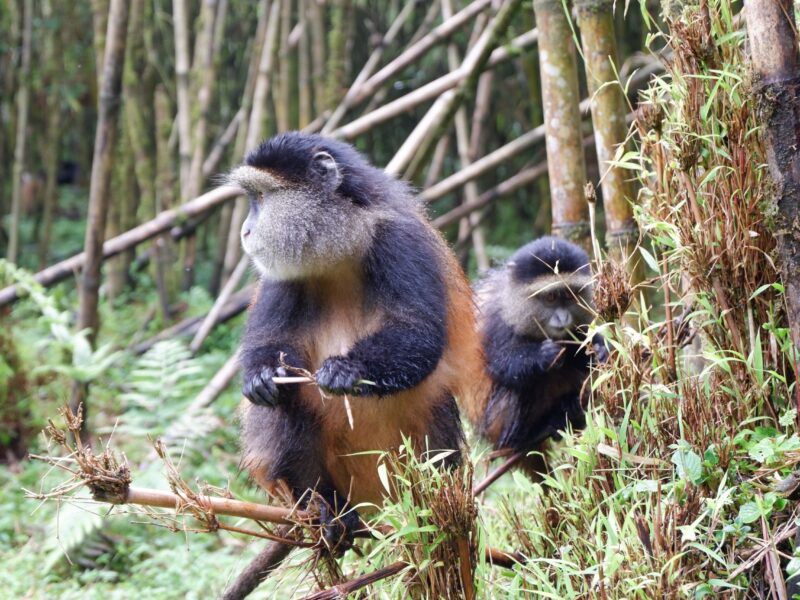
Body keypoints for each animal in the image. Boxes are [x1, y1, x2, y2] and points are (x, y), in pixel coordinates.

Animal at [227, 132, 487, 552]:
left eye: (262, 198)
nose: (246, 232)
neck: (343, 246)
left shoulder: (400, 241)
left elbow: (419, 334)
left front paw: (346, 370)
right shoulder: (279, 275)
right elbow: (269, 343)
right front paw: (261, 377)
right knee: (286, 404)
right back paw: (326, 510)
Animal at [462, 236, 607, 477]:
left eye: (569, 295)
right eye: (550, 296)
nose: (563, 317)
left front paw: (600, 349)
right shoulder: (497, 321)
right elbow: (499, 366)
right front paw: (542, 356)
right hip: (496, 423)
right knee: (525, 384)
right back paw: (525, 437)